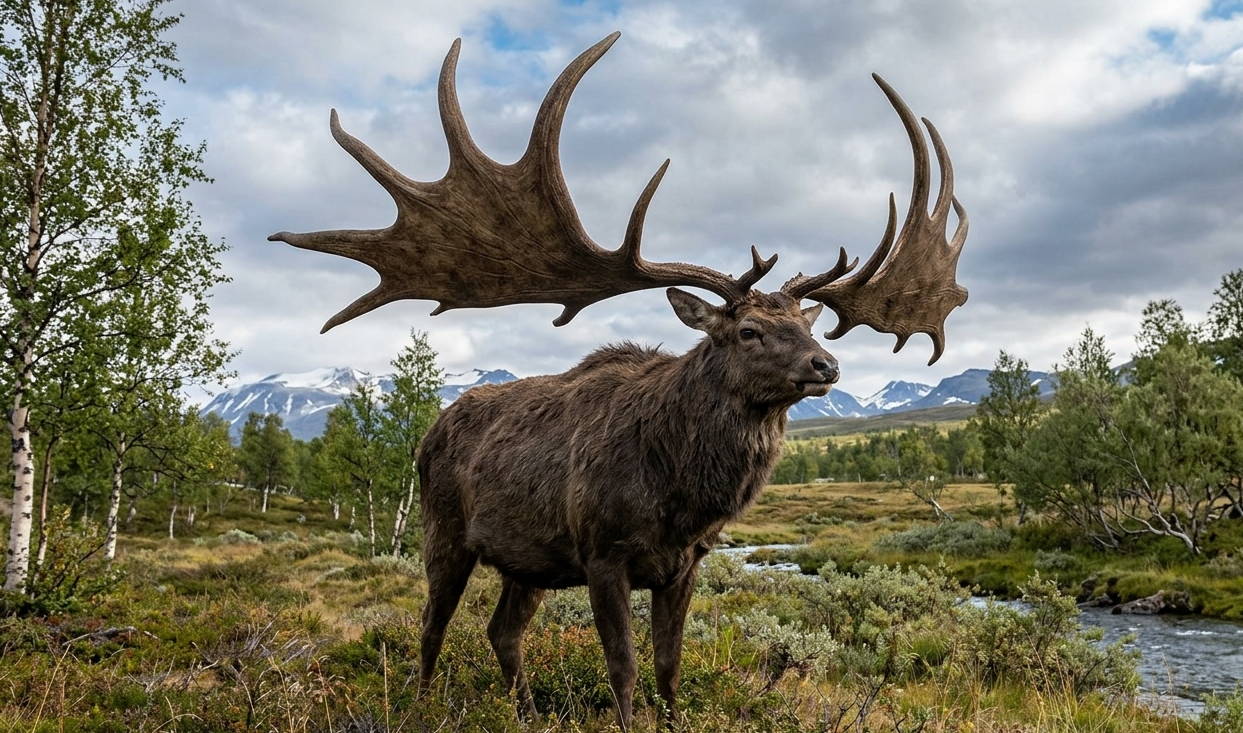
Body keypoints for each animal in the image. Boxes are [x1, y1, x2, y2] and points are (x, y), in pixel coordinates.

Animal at [270, 33, 968, 730]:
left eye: (805, 324)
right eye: (748, 331)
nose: (827, 365)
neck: (683, 491)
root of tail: (429, 429)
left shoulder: (685, 564)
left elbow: (669, 667)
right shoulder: (603, 554)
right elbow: (623, 668)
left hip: (529, 560)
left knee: (502, 630)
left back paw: (526, 713)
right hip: (443, 528)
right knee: (431, 625)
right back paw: (419, 703)